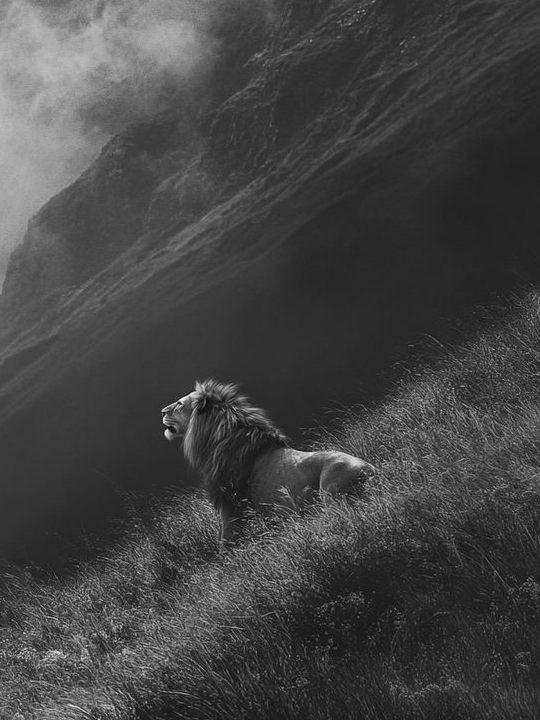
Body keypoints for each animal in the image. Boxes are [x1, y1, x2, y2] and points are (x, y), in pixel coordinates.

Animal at [161, 379, 375, 544]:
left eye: (179, 404)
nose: (162, 412)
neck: (218, 438)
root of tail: (370, 471)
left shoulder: (230, 505)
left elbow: (226, 543)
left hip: (330, 492)